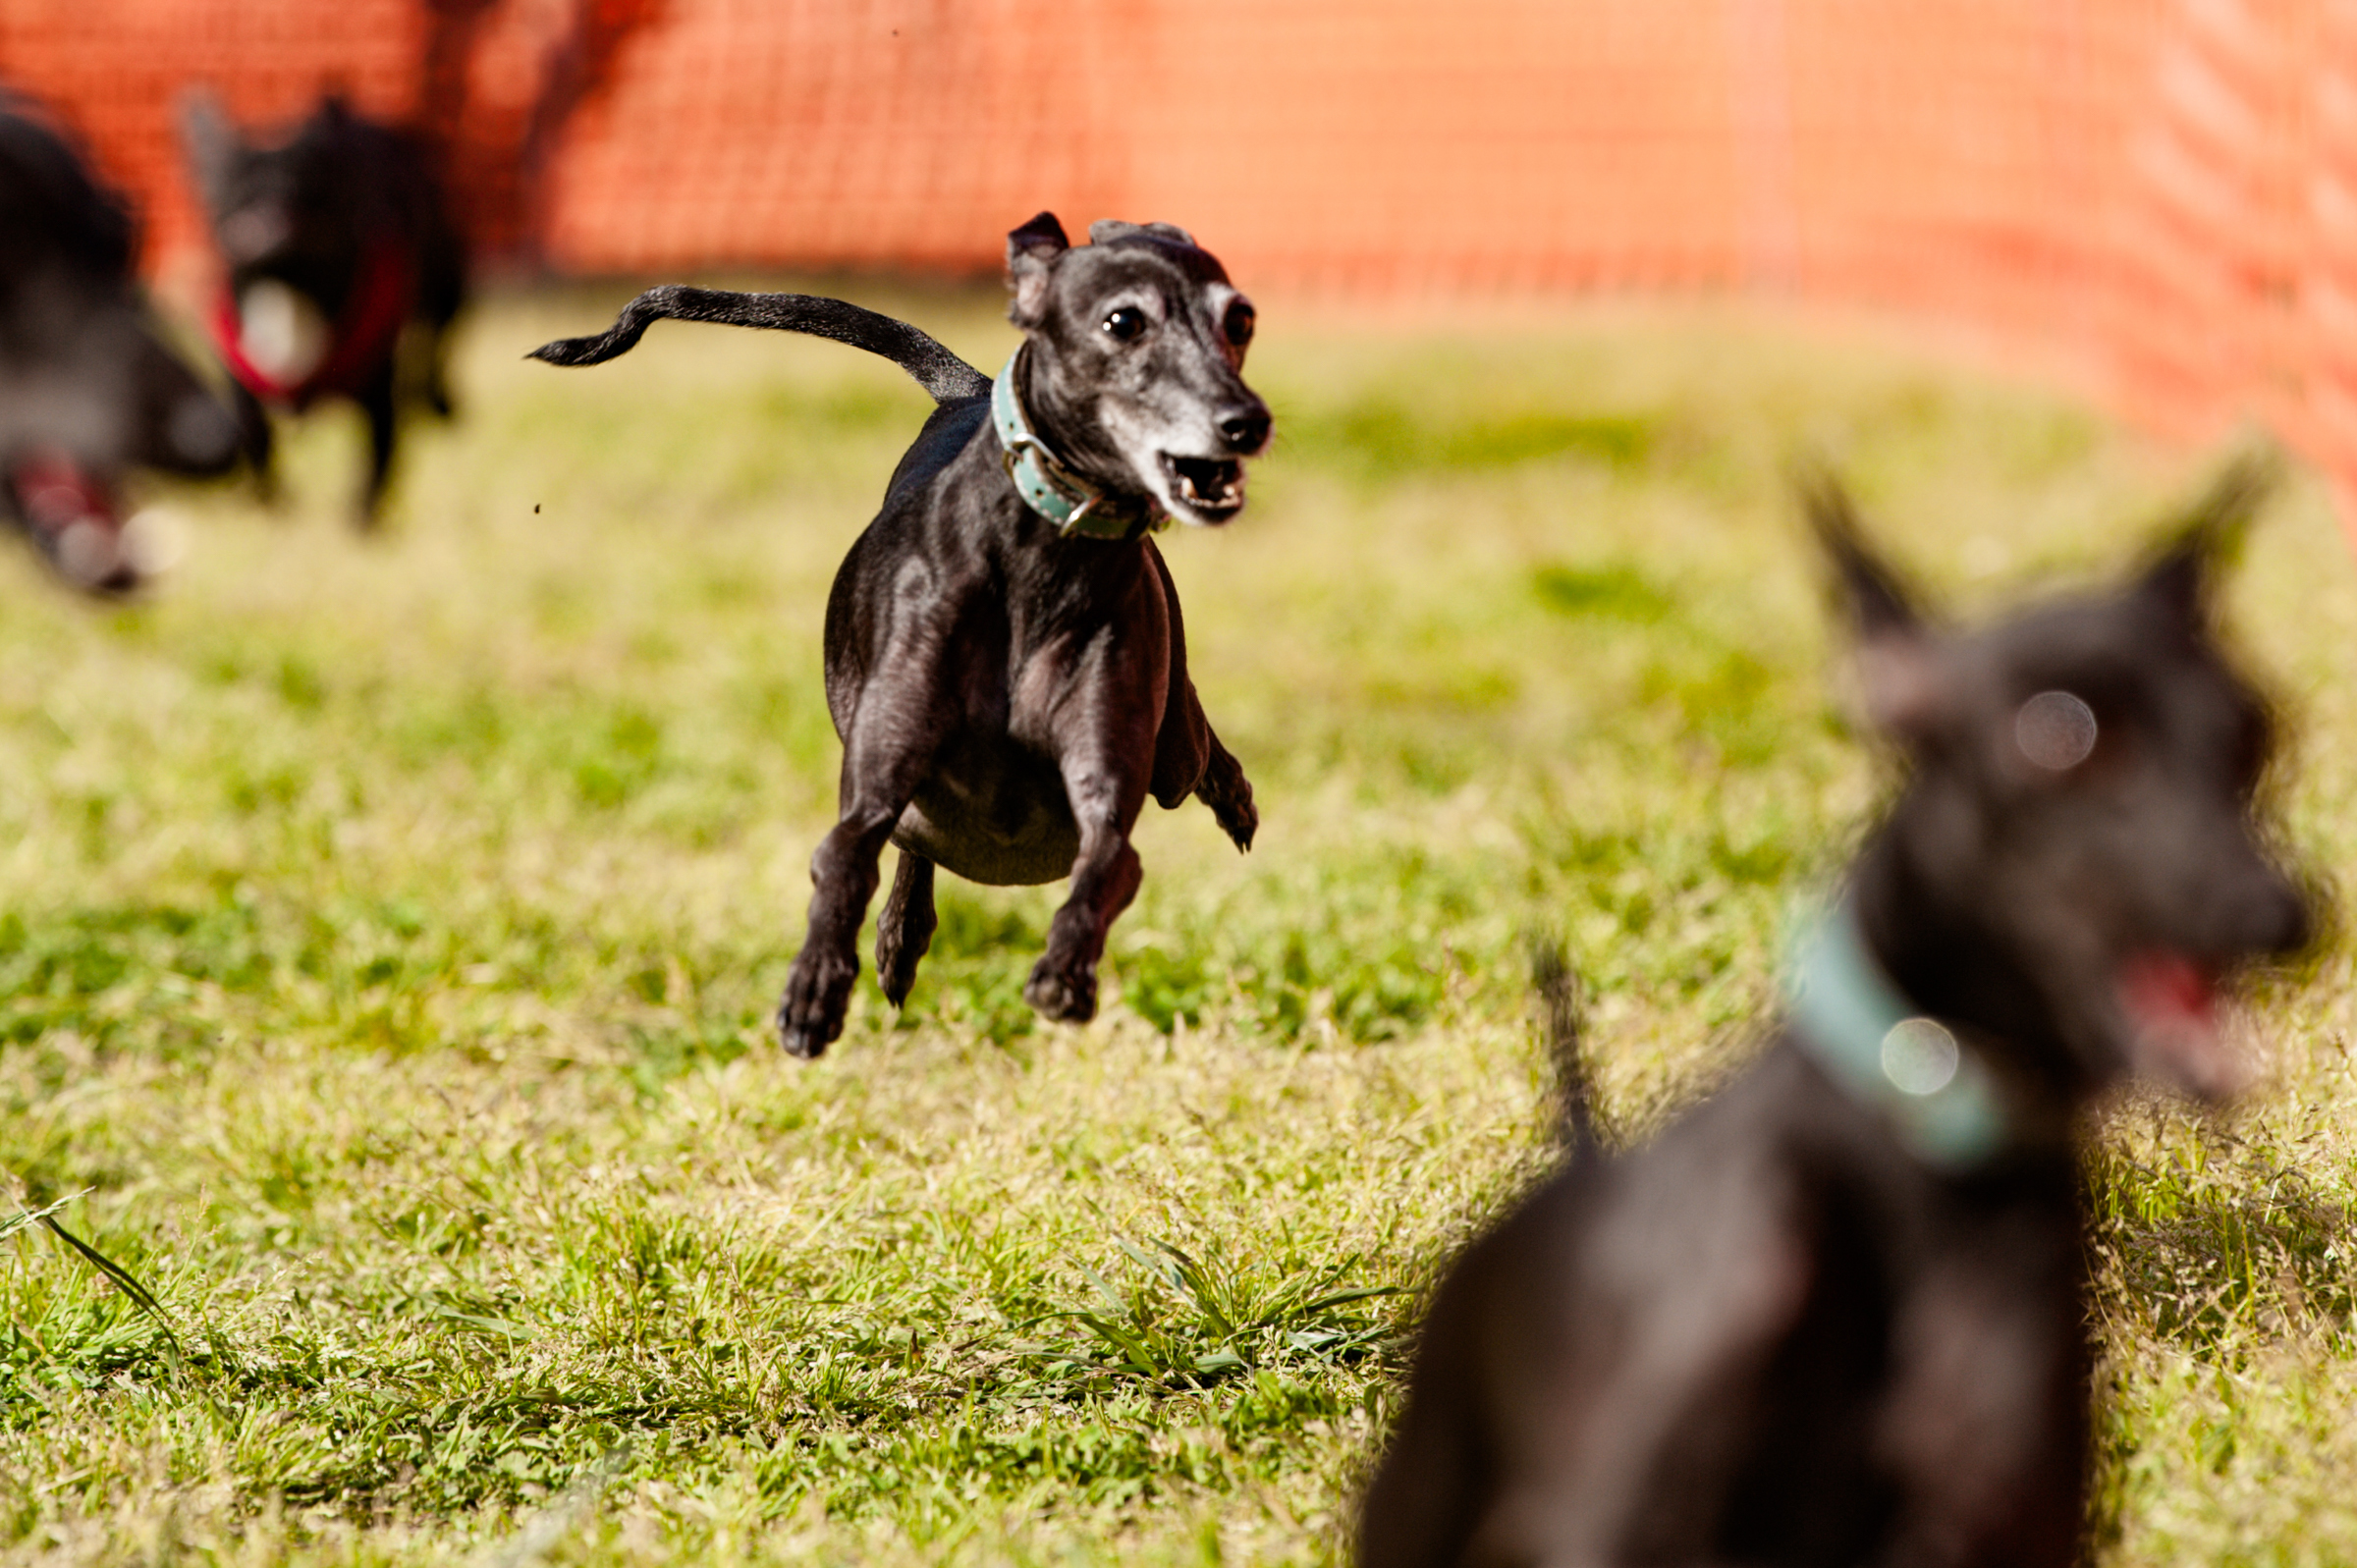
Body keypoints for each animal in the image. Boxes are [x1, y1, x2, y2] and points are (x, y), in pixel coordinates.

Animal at [180, 92, 467, 522]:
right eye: (228, 183)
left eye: (305, 181)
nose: (266, 197)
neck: (288, 289)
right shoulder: (242, 390)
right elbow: (259, 444)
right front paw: (275, 509)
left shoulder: (378, 399)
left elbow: (372, 470)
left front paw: (361, 524)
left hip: (449, 292)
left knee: (437, 349)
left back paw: (440, 403)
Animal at [532, 213, 1270, 1056]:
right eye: (1122, 321)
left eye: (1240, 319)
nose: (1245, 423)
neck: (1035, 563)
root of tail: (965, 390)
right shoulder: (875, 778)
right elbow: (845, 858)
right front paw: (816, 986)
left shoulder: (1106, 789)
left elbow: (1105, 863)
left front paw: (1065, 972)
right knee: (914, 846)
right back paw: (898, 937)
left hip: (1169, 748)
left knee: (1195, 748)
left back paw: (1234, 800)